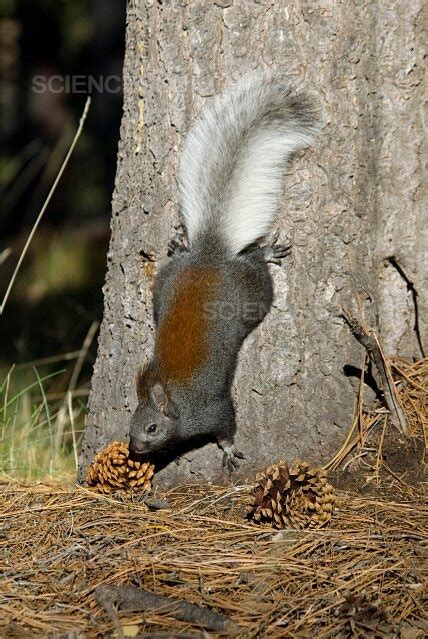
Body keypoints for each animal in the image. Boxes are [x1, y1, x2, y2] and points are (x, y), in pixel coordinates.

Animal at [129, 69, 320, 470]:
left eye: (152, 428)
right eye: (131, 423)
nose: (135, 449)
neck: (178, 403)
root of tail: (209, 256)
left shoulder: (212, 410)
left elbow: (227, 427)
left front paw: (229, 451)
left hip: (255, 293)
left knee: (256, 266)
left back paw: (266, 252)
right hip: (164, 284)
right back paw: (182, 247)